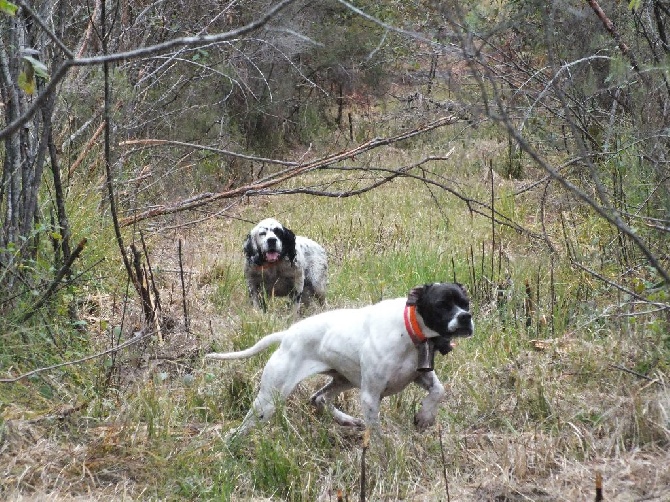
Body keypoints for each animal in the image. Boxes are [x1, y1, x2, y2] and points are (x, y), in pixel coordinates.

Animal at [205, 282, 472, 440]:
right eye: (441, 304)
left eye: (465, 302)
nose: (466, 317)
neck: (410, 332)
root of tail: (287, 335)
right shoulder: (370, 396)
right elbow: (377, 436)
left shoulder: (421, 375)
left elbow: (439, 391)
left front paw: (425, 416)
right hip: (268, 400)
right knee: (242, 428)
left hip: (345, 379)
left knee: (319, 398)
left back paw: (347, 420)